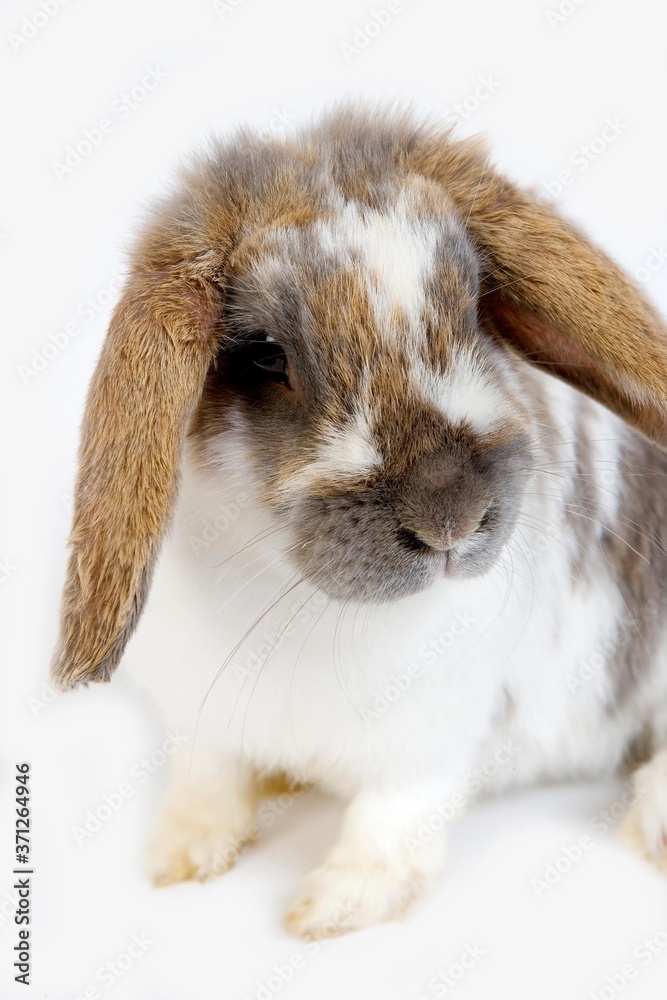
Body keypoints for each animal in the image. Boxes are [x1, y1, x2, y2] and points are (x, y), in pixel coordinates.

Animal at [52, 107, 667, 936]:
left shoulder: (427, 744)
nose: (450, 519)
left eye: (475, 309)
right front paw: (180, 857)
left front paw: (333, 907)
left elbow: (391, 820)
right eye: (264, 355)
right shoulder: (205, 722)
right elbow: (209, 780)